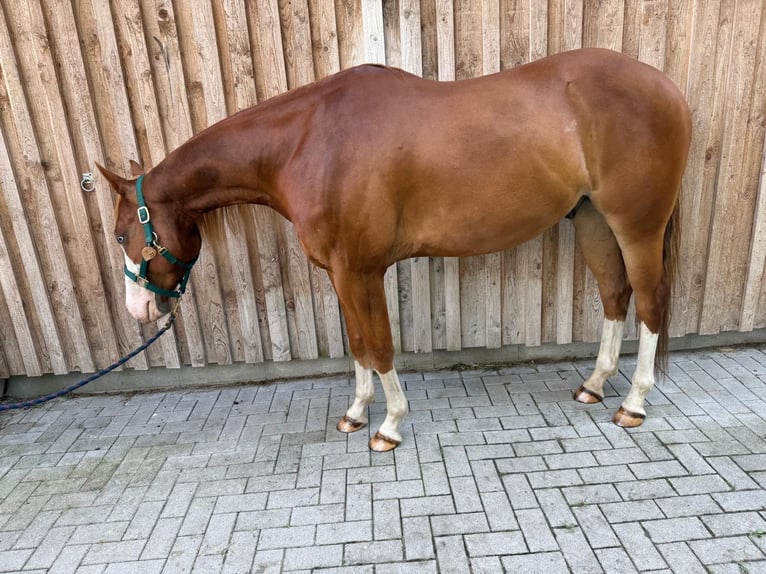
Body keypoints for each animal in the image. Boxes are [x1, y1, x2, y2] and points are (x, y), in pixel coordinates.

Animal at [98, 48, 691, 452]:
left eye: (123, 233)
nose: (138, 308)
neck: (308, 143)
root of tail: (669, 88)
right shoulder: (340, 273)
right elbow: (360, 346)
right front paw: (356, 413)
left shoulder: (361, 271)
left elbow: (380, 347)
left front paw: (388, 426)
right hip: (593, 221)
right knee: (615, 297)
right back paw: (593, 386)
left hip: (637, 226)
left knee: (650, 302)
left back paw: (633, 404)